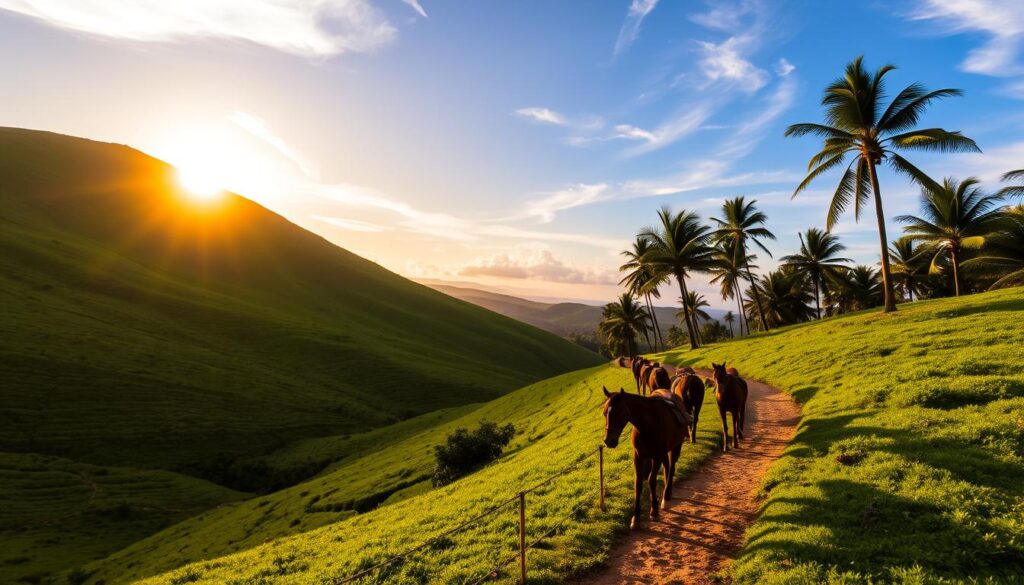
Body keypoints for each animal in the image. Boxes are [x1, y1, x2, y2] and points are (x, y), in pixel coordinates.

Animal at [598, 387, 688, 528]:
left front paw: (654, 510)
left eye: (619, 412)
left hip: (675, 447)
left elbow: (651, 480)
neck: (647, 424)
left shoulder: (656, 456)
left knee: (672, 467)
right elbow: (638, 483)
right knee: (667, 468)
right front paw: (636, 517)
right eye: (604, 412)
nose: (609, 441)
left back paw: (666, 496)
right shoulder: (638, 457)